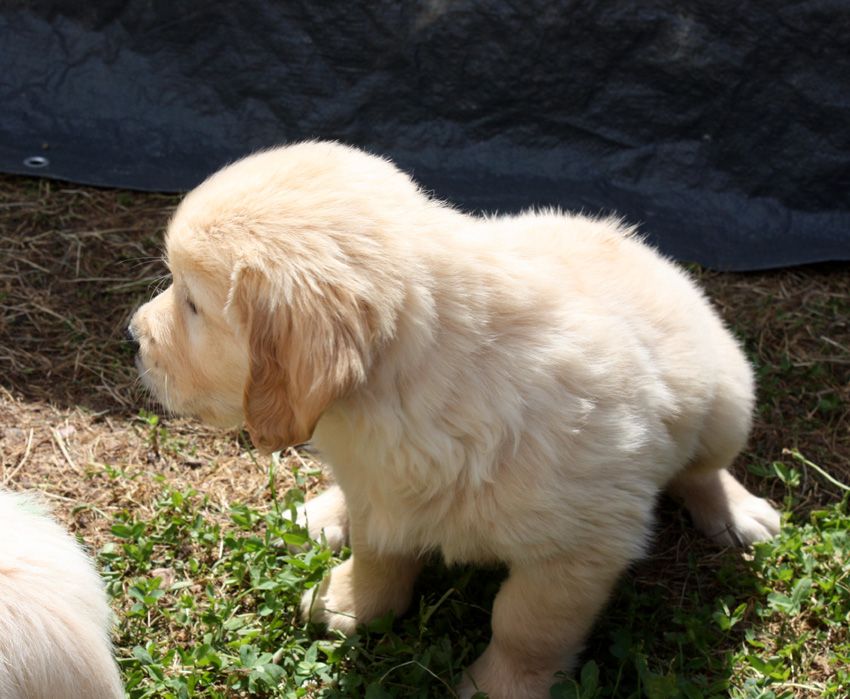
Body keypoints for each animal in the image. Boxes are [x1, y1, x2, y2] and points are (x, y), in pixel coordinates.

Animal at [128, 141, 780, 698]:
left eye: (193, 305)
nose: (133, 336)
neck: (404, 388)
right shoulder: (378, 487)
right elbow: (379, 555)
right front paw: (351, 603)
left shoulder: (579, 548)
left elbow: (525, 626)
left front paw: (502, 687)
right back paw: (321, 512)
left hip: (728, 398)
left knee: (702, 470)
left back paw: (736, 513)